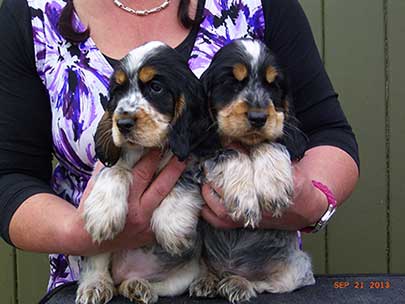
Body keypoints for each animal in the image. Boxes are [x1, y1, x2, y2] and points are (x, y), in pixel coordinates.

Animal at [75, 41, 211, 304]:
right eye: (117, 91)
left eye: (156, 88)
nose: (123, 124)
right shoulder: (111, 164)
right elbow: (115, 171)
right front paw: (103, 213)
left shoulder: (193, 160)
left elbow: (183, 180)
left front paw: (173, 228)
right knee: (98, 264)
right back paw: (96, 285)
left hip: (181, 278)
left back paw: (137, 286)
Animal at [189, 39, 316, 302]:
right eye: (231, 83)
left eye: (274, 85)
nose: (258, 117)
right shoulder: (200, 158)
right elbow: (232, 154)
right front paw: (245, 199)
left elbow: (269, 144)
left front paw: (274, 189)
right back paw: (207, 280)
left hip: (296, 267)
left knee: (265, 284)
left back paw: (238, 283)